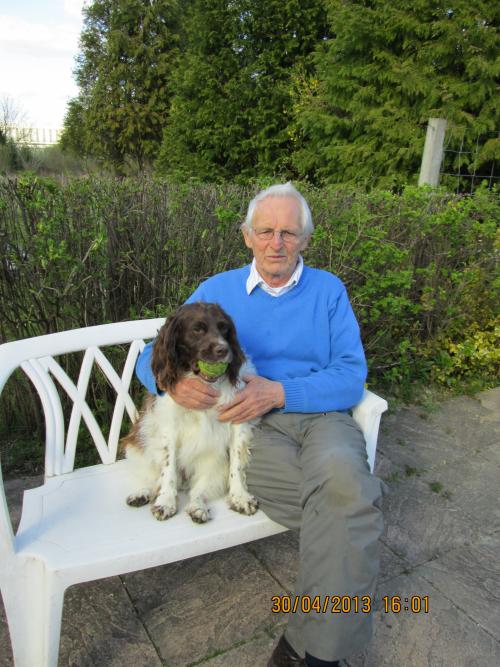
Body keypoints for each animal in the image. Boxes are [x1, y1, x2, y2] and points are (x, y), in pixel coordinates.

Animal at [123, 304, 260, 528]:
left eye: (224, 328)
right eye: (197, 329)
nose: (224, 350)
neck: (203, 381)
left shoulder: (238, 420)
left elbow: (237, 464)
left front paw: (240, 497)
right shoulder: (169, 427)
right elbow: (168, 469)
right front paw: (166, 502)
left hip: (212, 466)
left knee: (198, 491)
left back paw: (198, 508)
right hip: (138, 447)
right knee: (156, 479)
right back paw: (143, 494)